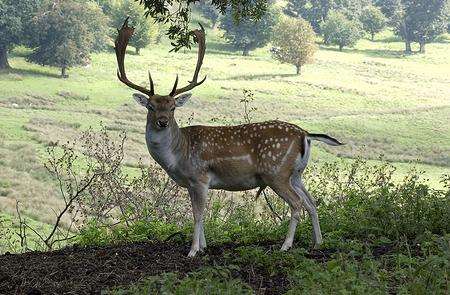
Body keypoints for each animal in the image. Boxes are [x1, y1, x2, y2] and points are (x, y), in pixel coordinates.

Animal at [114, 19, 342, 258]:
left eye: (173, 106)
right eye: (150, 106)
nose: (163, 122)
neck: (178, 156)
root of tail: (305, 134)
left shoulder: (200, 177)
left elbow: (197, 214)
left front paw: (193, 250)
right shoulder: (190, 184)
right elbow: (199, 213)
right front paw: (203, 246)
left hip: (276, 172)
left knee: (297, 203)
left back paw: (286, 245)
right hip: (296, 174)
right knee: (311, 202)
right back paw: (318, 242)